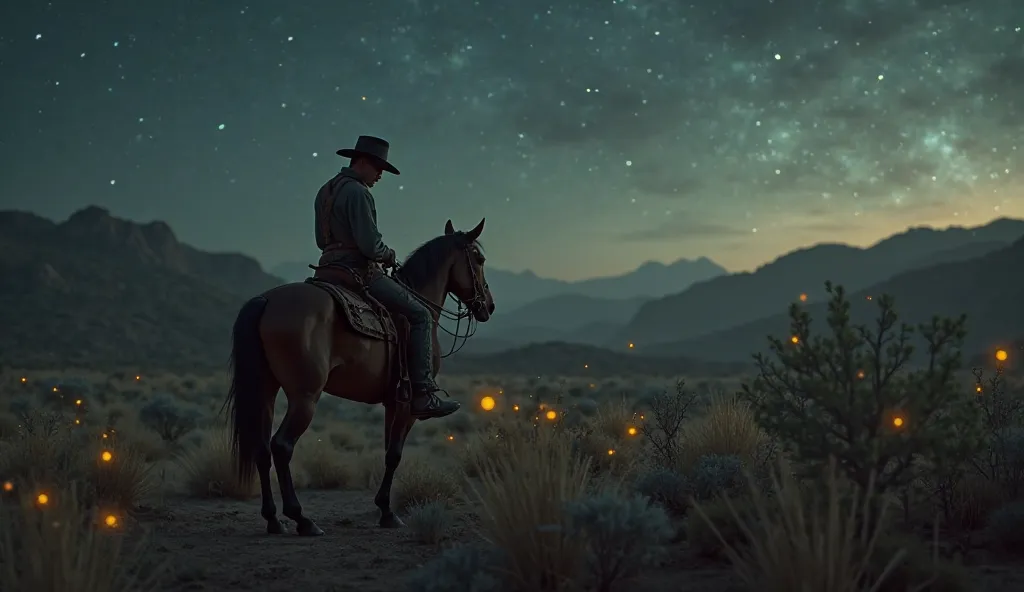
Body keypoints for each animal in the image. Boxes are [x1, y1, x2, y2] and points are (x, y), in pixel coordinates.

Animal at [224, 218, 495, 532]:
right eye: (479, 259)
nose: (488, 306)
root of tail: (266, 301)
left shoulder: (392, 401)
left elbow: (389, 452)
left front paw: (384, 509)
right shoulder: (408, 405)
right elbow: (394, 455)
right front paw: (388, 512)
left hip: (266, 392)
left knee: (261, 449)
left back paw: (273, 520)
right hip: (305, 397)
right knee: (281, 446)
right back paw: (301, 518)